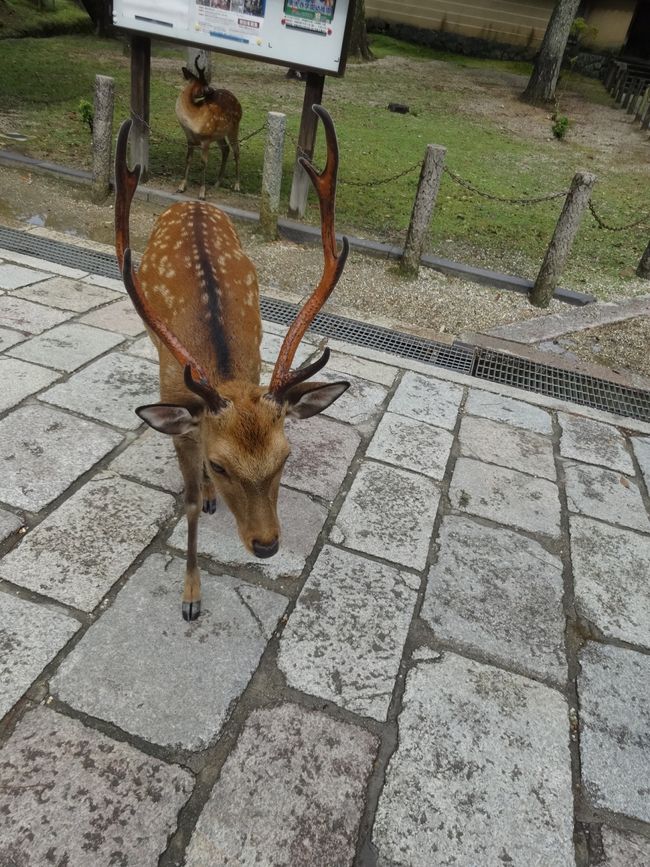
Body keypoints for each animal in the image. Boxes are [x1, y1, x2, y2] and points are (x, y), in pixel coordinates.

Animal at [115, 105, 350, 621]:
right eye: (221, 466)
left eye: (286, 457)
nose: (267, 545)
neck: (220, 369)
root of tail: (193, 204)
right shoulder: (179, 417)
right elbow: (185, 504)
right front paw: (190, 597)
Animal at [175, 57, 242, 200]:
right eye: (205, 84)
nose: (213, 90)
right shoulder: (189, 138)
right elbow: (188, 159)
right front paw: (181, 187)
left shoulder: (206, 138)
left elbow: (203, 162)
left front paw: (202, 193)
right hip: (219, 134)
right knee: (226, 149)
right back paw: (217, 183)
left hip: (234, 127)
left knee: (236, 150)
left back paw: (237, 185)